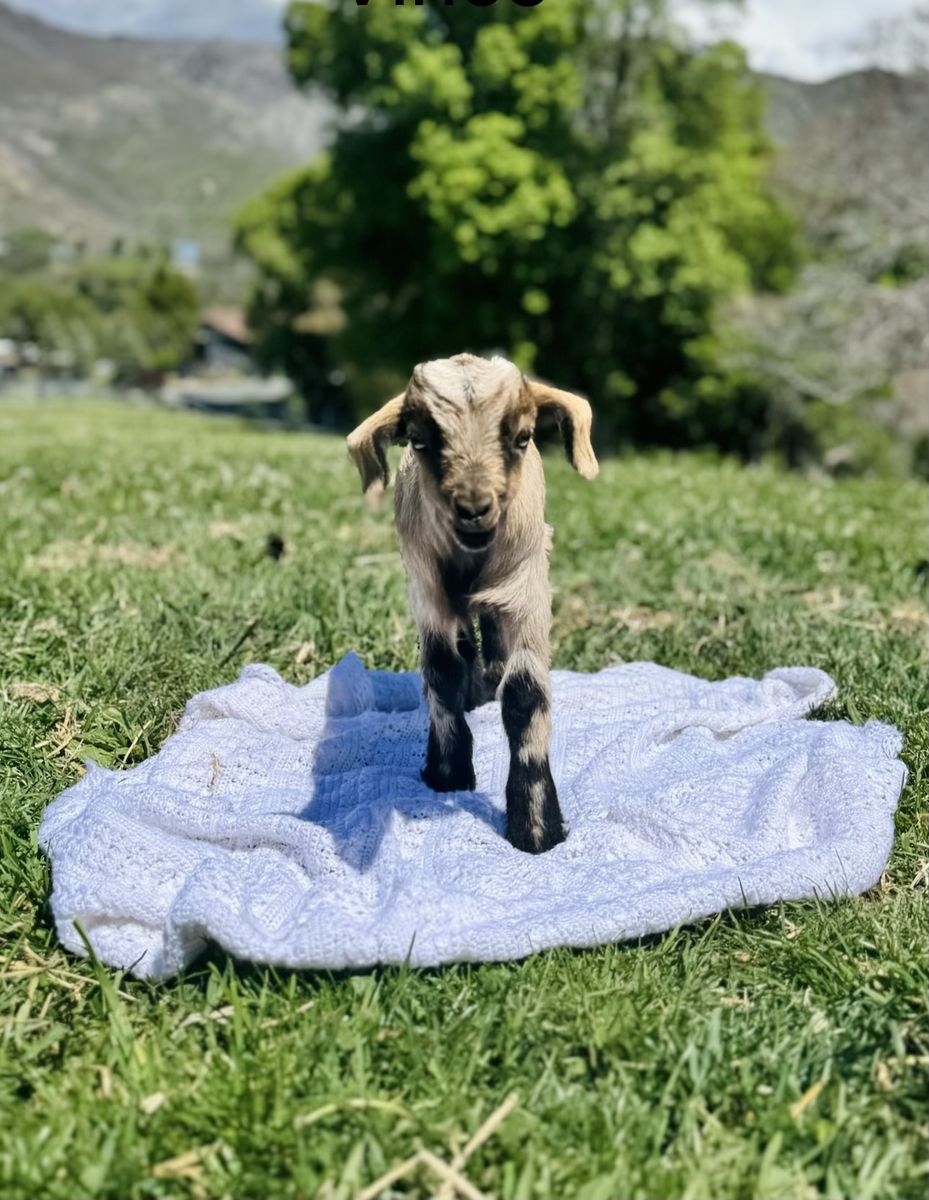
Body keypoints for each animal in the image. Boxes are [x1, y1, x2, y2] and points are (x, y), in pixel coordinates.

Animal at [347, 354, 598, 853]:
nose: (474, 508)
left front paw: (535, 826)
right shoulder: (427, 590)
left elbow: (526, 694)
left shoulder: (527, 588)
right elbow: (441, 671)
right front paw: (448, 770)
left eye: (523, 437)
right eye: (419, 440)